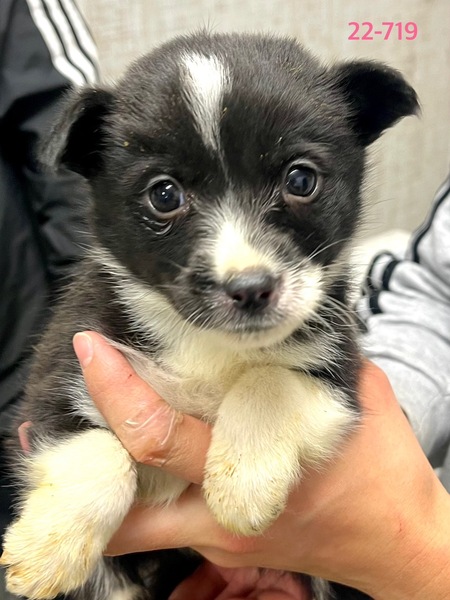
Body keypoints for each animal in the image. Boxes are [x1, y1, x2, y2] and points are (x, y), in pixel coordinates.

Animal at [1, 31, 418, 600]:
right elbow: (93, 449)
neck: (209, 346)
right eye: (164, 194)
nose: (250, 288)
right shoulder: (65, 366)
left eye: (301, 179)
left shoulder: (339, 377)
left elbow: (270, 381)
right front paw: (49, 544)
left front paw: (242, 482)